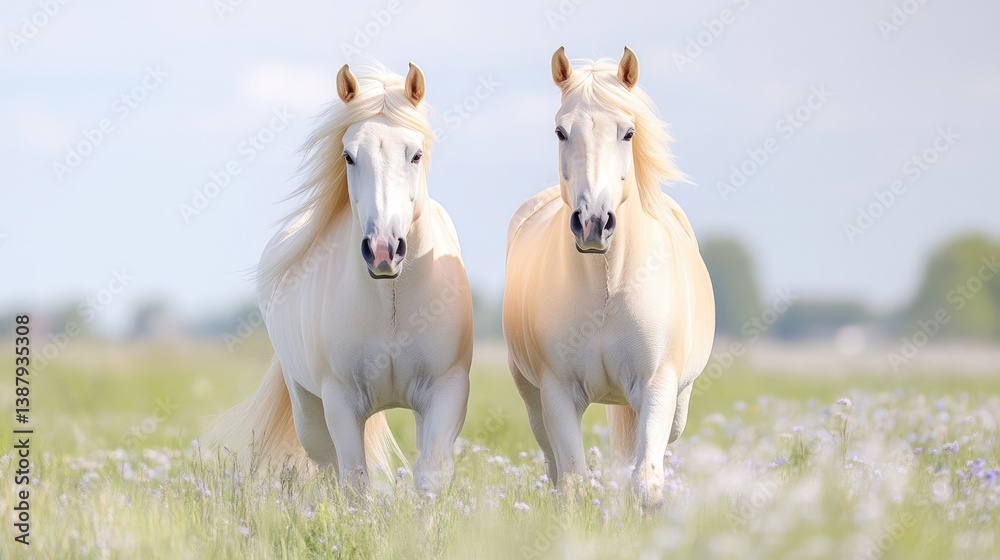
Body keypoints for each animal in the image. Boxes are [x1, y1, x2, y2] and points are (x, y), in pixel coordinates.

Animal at [208, 61, 473, 497]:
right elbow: (355, 481)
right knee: (330, 464)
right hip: (309, 411)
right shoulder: (341, 402)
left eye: (416, 154)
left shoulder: (446, 391)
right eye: (348, 155)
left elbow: (431, 475)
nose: (383, 249)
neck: (391, 300)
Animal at [502, 46, 716, 511]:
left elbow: (646, 480)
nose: (593, 223)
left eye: (628, 132)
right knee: (556, 467)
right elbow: (574, 483)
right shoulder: (558, 393)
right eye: (561, 132)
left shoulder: (656, 387)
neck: (607, 285)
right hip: (533, 402)